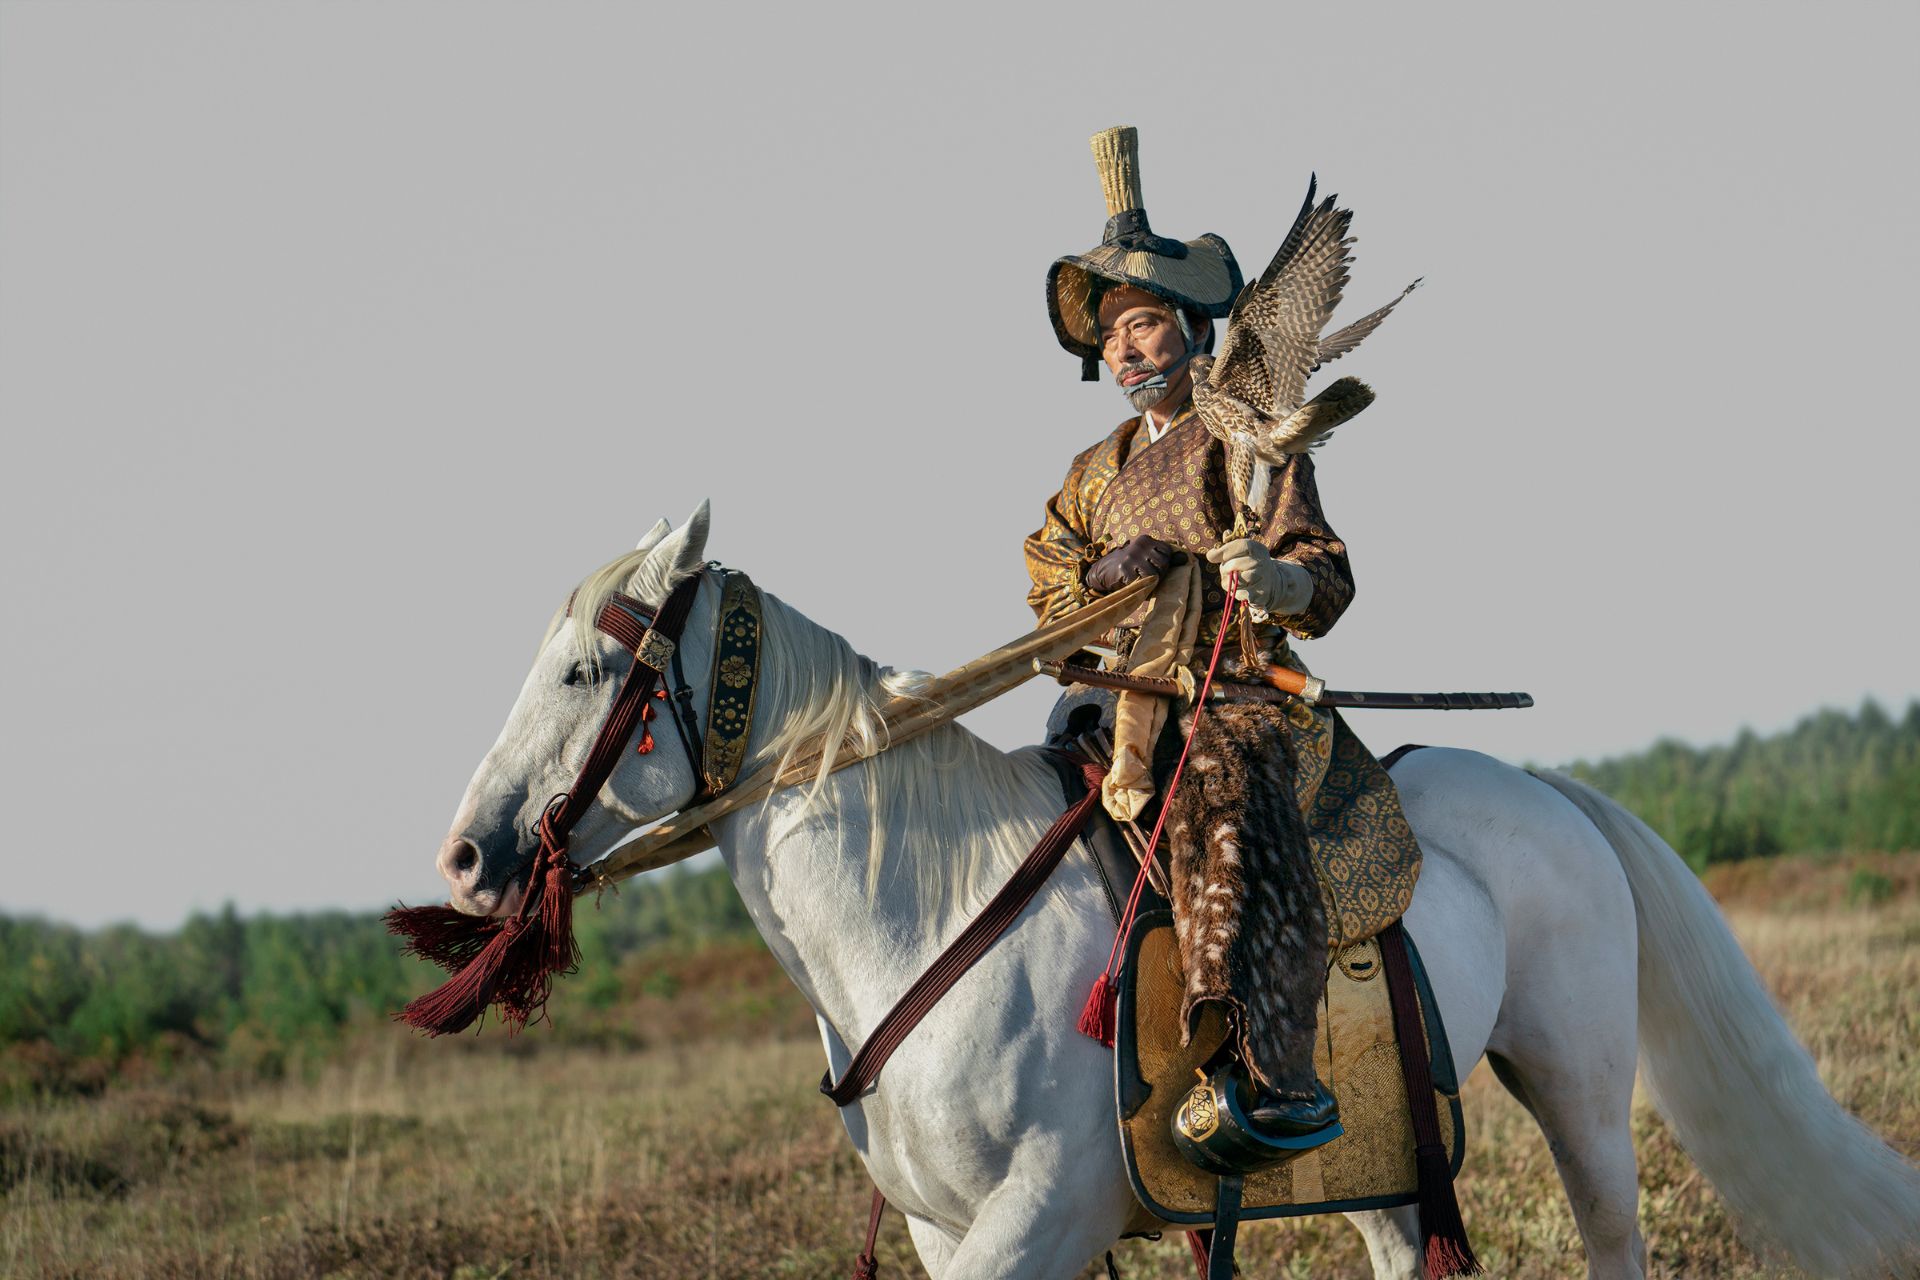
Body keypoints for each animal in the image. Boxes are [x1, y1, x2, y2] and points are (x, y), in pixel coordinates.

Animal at [435, 506, 1920, 1274]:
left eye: (584, 670)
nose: (463, 857)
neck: (924, 919)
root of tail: (1553, 791)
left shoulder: (1037, 1220)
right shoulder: (942, 1231)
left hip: (1579, 1082)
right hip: (1383, 1149)